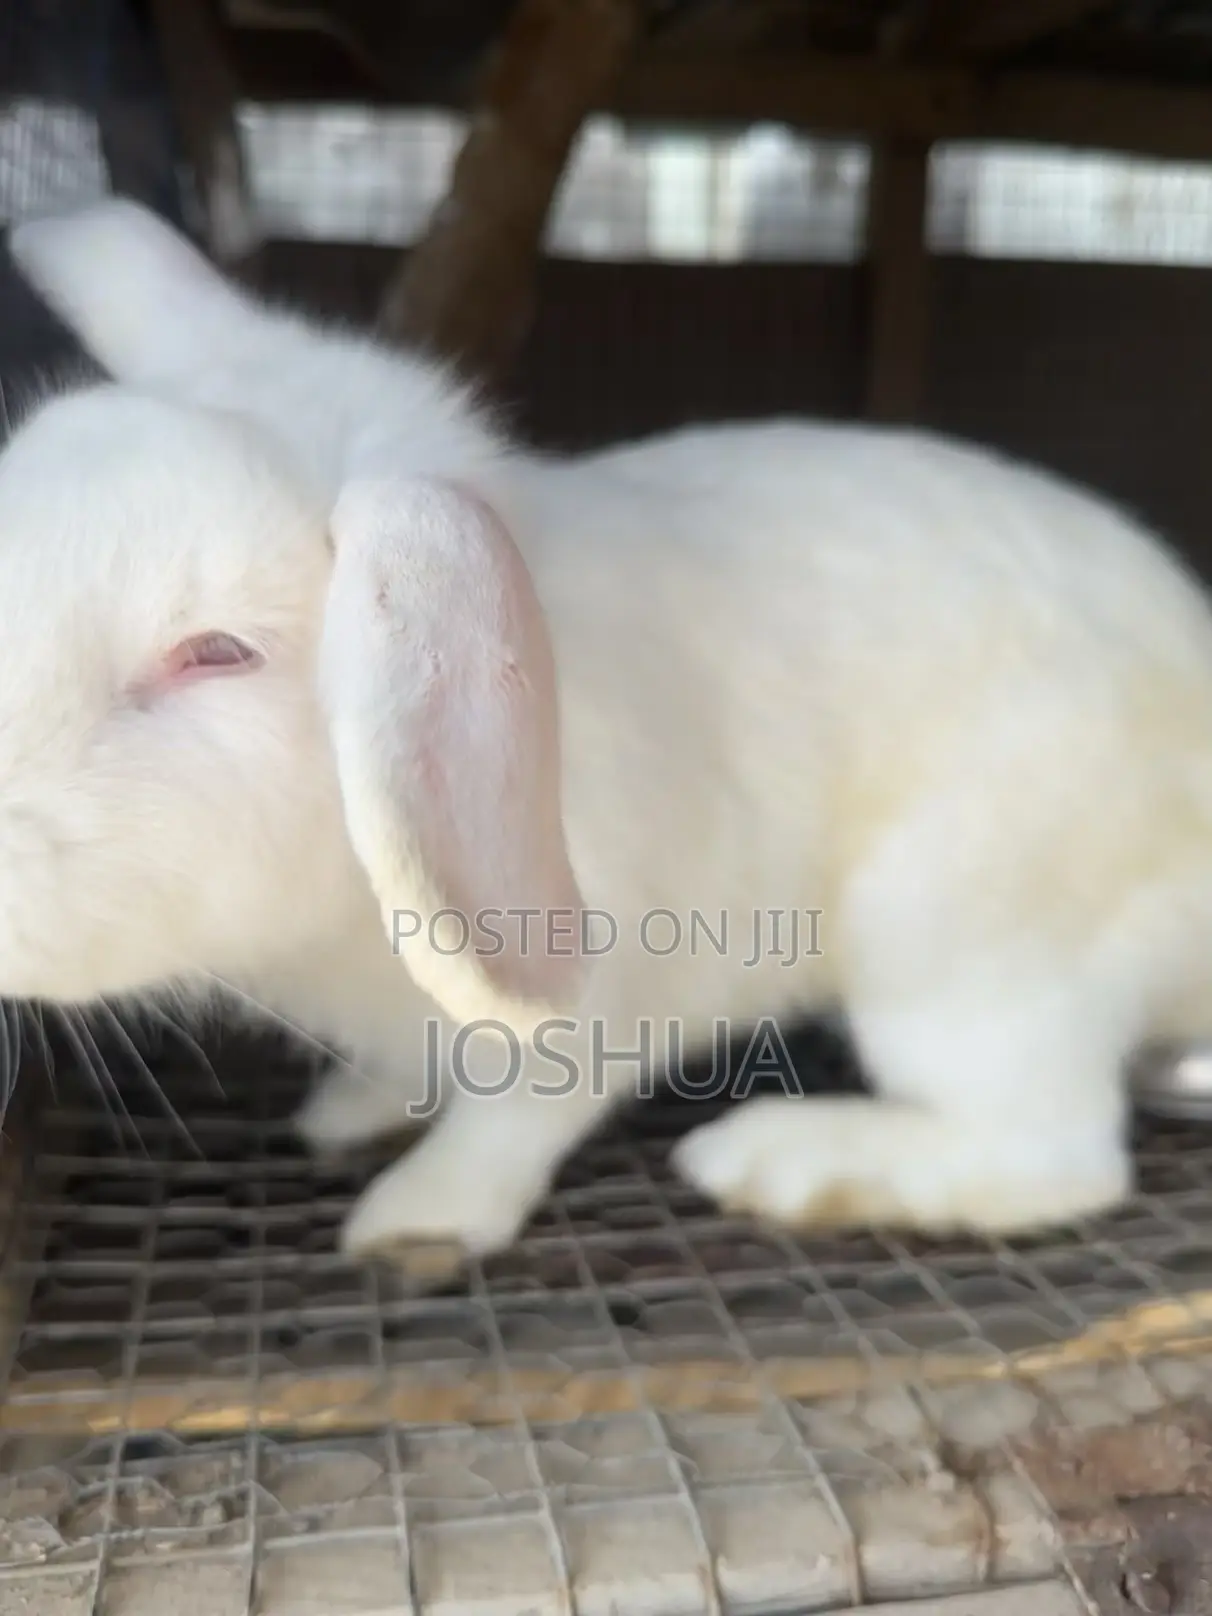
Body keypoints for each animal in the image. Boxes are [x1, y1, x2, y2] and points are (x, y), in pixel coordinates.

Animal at [6, 195, 1212, 1276]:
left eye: (213, 653)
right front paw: (354, 1109)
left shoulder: (605, 993)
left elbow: (516, 1118)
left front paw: (418, 1217)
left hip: (961, 939)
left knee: (1053, 1152)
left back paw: (775, 1160)